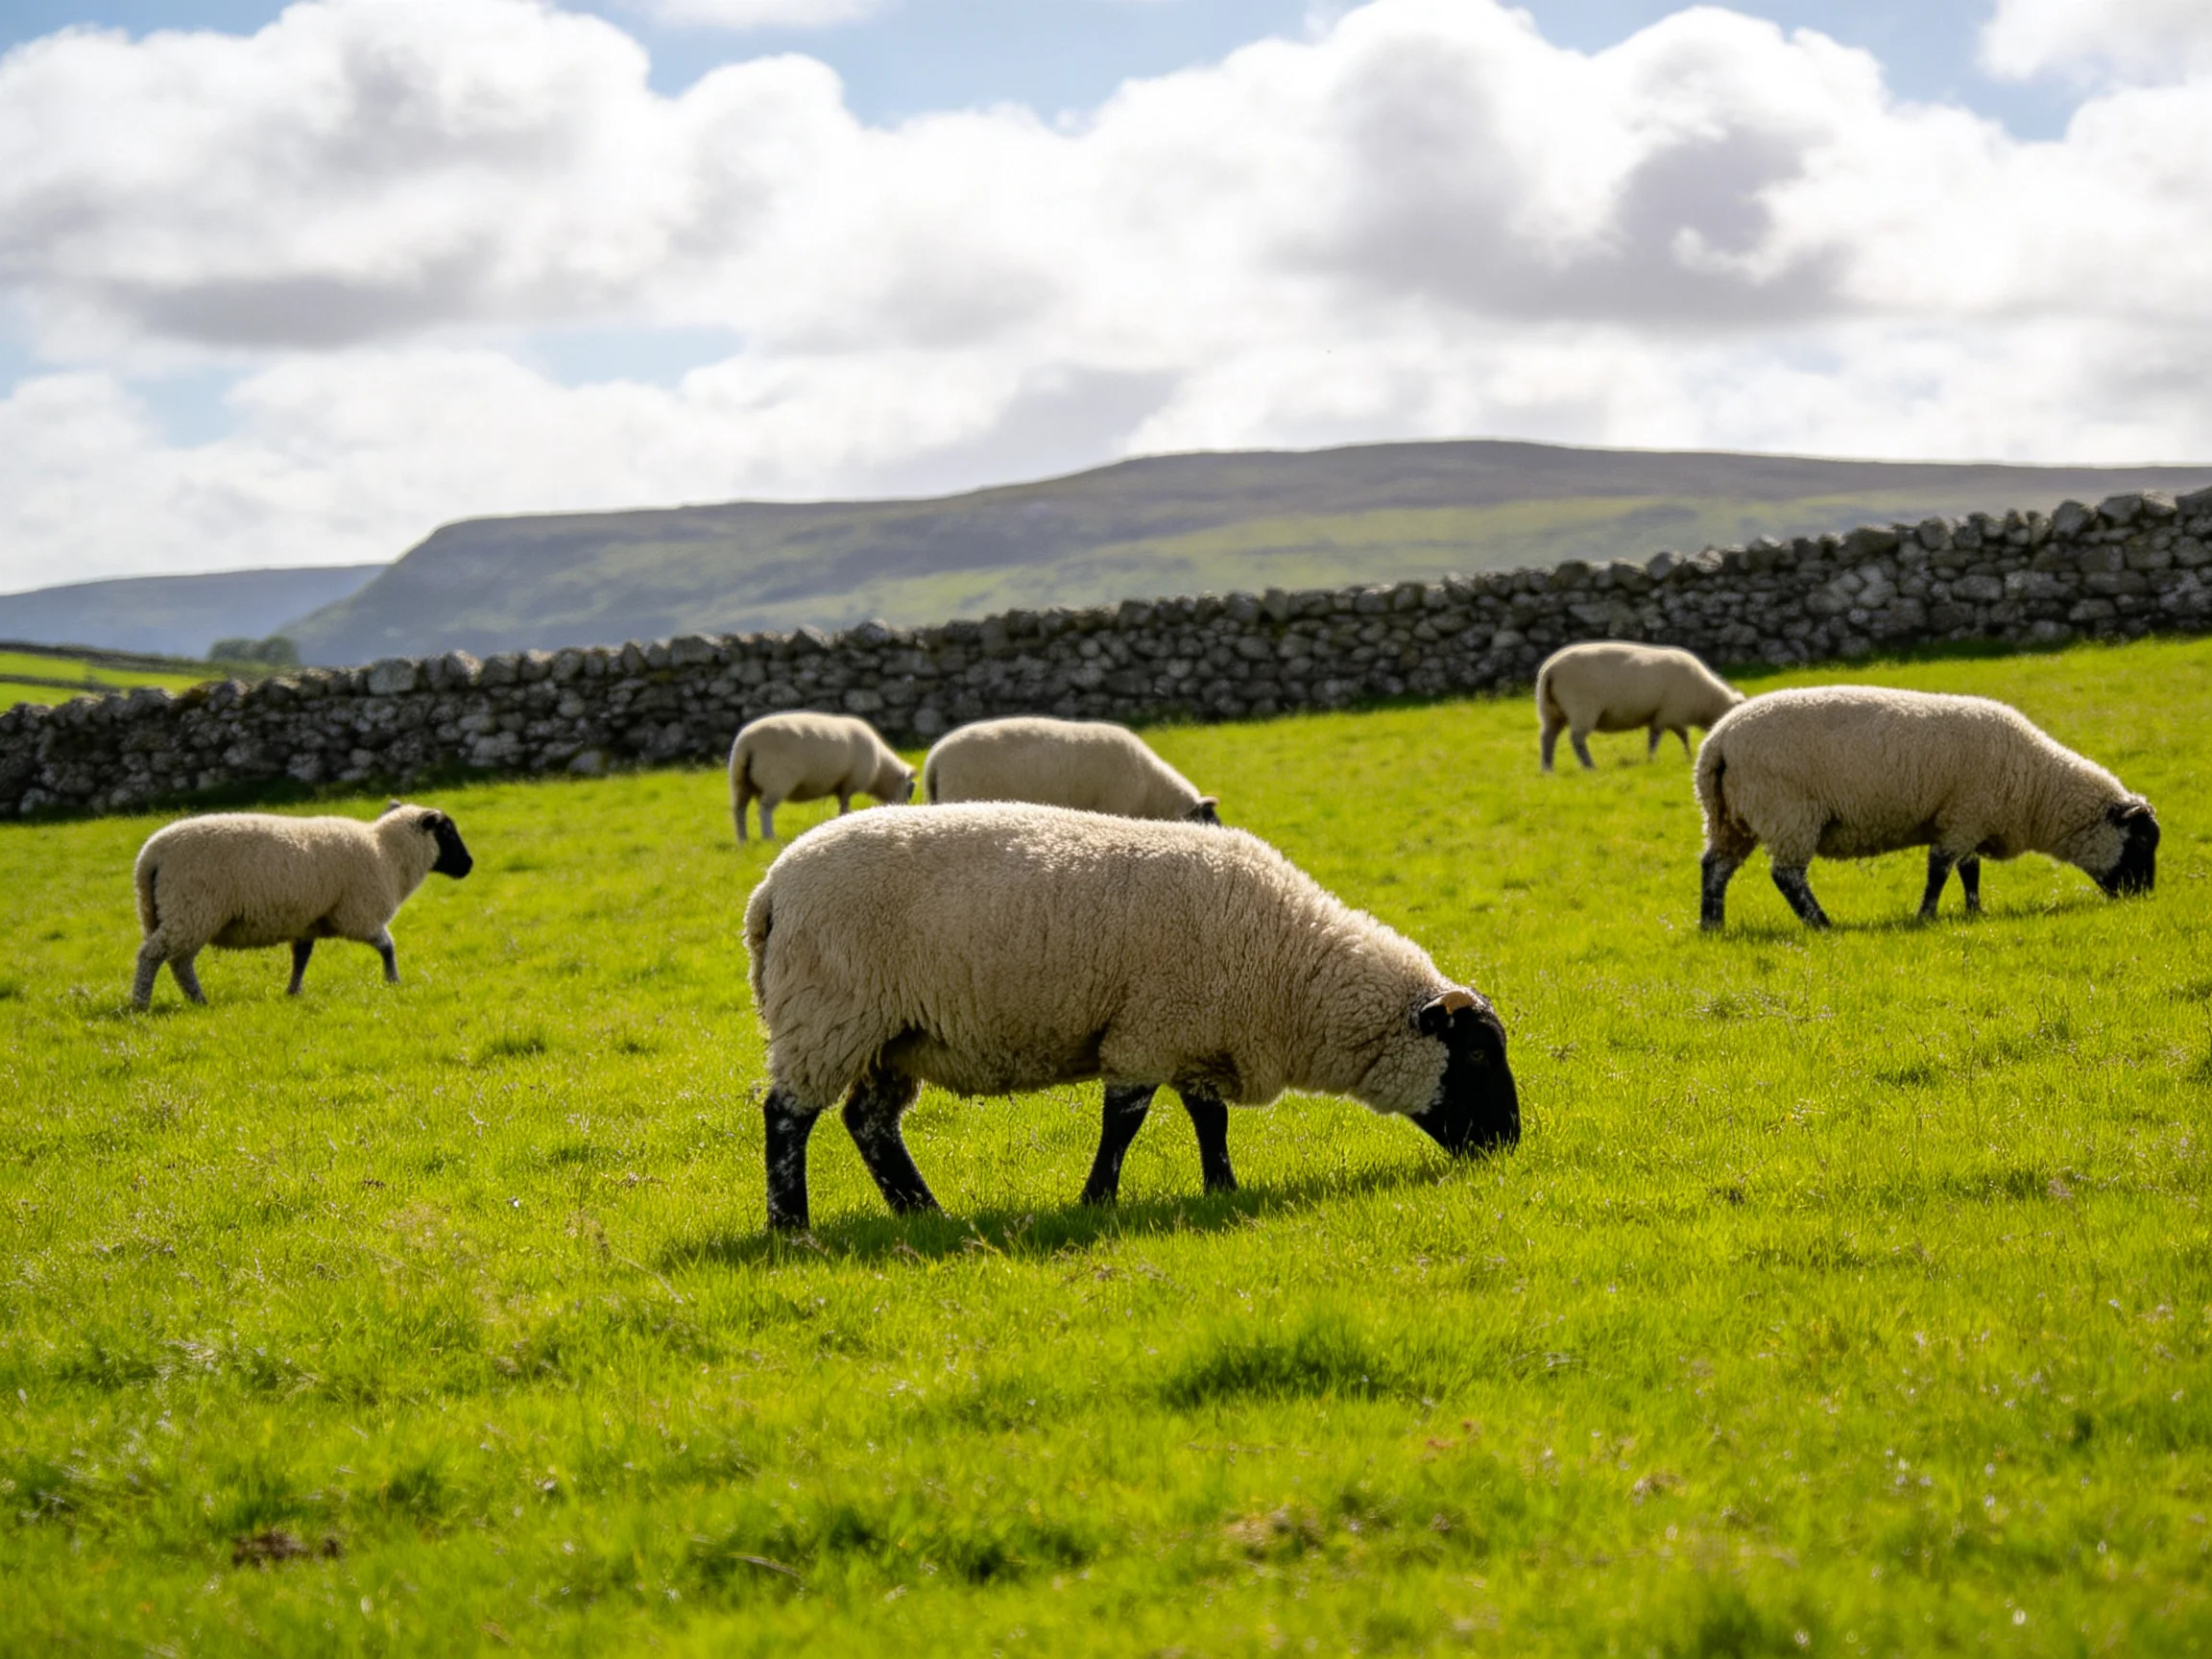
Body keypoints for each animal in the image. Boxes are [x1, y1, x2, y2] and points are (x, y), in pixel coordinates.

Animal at [131, 802, 474, 1008]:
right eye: (447, 831)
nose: (469, 865)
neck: (387, 853)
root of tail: (150, 856)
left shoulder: (307, 921)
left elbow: (301, 958)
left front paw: (293, 992)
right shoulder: (357, 914)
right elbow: (387, 946)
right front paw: (393, 981)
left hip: (171, 913)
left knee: (179, 962)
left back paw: (198, 1000)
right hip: (191, 909)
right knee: (154, 956)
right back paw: (141, 1003)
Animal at [728, 713, 915, 844]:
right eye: (909, 790)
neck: (881, 769)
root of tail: (747, 744)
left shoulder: (842, 785)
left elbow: (842, 806)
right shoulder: (850, 783)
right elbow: (845, 806)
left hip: (740, 781)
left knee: (739, 809)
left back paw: (742, 839)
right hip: (776, 779)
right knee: (765, 808)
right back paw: (769, 836)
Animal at [742, 803, 1517, 1231]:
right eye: (1478, 1055)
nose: (1510, 1143)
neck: (1291, 967)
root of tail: (771, 889)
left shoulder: (1196, 1034)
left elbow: (1210, 1120)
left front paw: (1221, 1189)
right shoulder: (1148, 1030)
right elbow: (1126, 1121)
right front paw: (1097, 1200)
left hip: (894, 1035)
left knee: (869, 1121)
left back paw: (923, 1213)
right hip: (830, 1012)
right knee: (789, 1115)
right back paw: (791, 1224)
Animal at [1536, 642, 1743, 772]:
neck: (1705, 699)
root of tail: (1550, 670)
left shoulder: (1671, 715)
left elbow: (1682, 736)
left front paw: (1689, 756)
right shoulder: (1668, 713)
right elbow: (1656, 738)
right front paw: (1652, 759)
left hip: (1551, 711)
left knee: (1548, 738)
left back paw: (1547, 768)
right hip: (1582, 708)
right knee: (1577, 739)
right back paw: (1589, 766)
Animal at [1695, 686, 2158, 930]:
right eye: (2139, 844)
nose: (2144, 897)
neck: (2038, 788)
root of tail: (1719, 742)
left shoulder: (1969, 820)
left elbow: (1969, 871)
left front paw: (1974, 911)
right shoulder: (1965, 816)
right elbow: (1940, 869)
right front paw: (1926, 915)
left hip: (1729, 819)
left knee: (1715, 867)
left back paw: (1712, 924)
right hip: (1788, 813)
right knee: (1787, 876)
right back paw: (1821, 923)